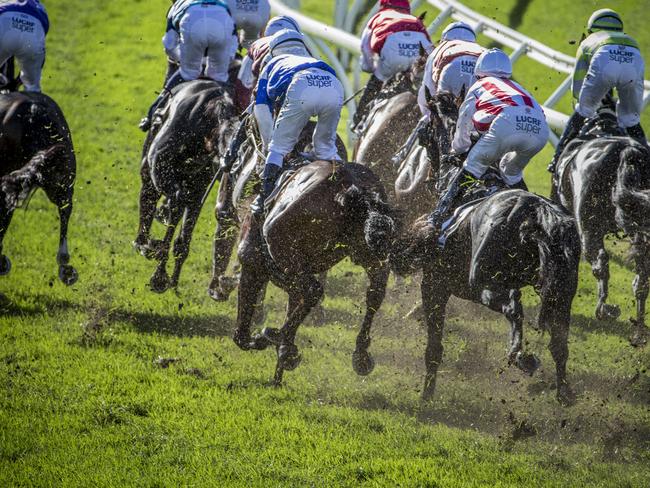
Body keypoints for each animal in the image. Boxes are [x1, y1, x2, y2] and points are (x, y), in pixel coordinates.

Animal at [133, 79, 239, 294]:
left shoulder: (195, 189)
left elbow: (182, 228)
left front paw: (167, 276)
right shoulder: (162, 170)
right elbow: (173, 206)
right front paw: (160, 271)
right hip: (155, 172)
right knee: (156, 198)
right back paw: (148, 247)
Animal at [233, 160, 394, 386]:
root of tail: (349, 184)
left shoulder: (251, 265)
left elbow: (241, 333)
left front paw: (272, 346)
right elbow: (293, 307)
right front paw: (283, 359)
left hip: (283, 249)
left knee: (314, 290)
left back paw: (271, 334)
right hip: (371, 258)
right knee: (375, 294)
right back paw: (360, 356)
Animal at [388, 183, 580, 404]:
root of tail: (539, 215)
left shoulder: (434, 286)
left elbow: (434, 347)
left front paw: (427, 394)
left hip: (482, 284)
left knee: (513, 309)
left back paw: (519, 355)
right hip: (561, 295)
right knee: (558, 343)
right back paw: (562, 391)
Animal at [548, 103, 648, 346]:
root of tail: (627, 152)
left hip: (588, 227)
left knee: (600, 262)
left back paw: (604, 309)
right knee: (642, 278)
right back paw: (639, 329)